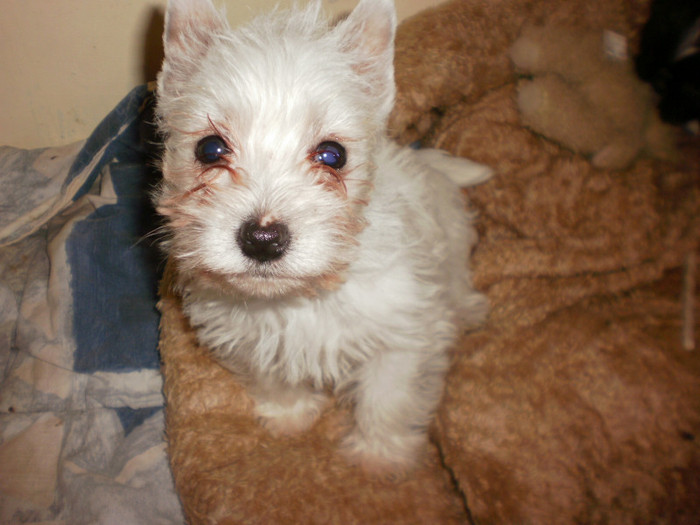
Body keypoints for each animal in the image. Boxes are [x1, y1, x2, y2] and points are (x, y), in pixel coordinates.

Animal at [156, 0, 490, 472]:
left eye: (333, 155)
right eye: (209, 149)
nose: (262, 239)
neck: (301, 296)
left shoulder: (404, 333)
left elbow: (389, 398)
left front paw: (379, 458)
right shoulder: (250, 338)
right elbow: (271, 377)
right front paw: (289, 416)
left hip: (454, 242)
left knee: (459, 282)